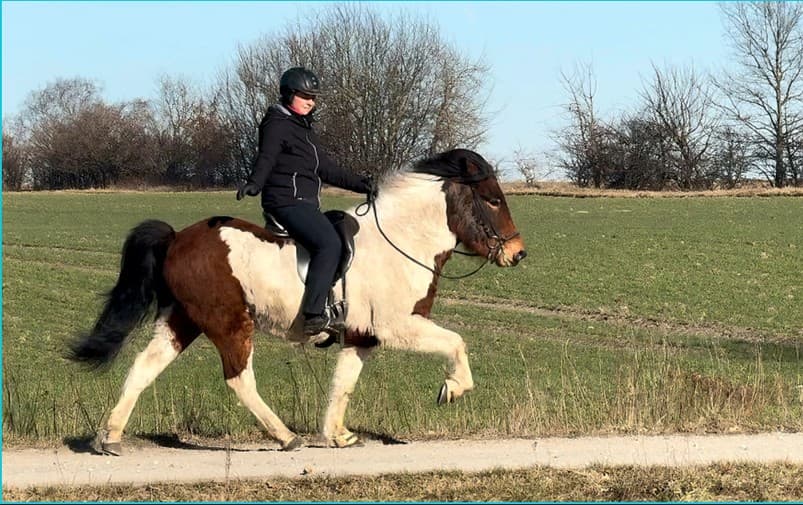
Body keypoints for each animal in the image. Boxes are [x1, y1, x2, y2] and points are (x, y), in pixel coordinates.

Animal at [67, 148, 527, 454]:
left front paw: (337, 434)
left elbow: (343, 384)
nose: (518, 254)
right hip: (229, 323)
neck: (402, 240)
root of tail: (177, 237)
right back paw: (285, 436)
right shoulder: (398, 326)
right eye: (492, 199)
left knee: (144, 367)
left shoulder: (360, 336)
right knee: (238, 378)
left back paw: (110, 437)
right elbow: (456, 342)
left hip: (182, 321)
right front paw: (452, 389)